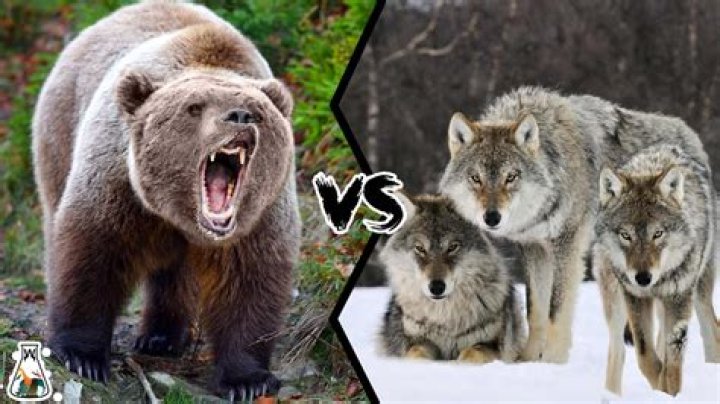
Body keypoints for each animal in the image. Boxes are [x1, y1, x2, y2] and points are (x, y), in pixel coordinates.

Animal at [31, 1, 300, 400]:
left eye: (259, 112)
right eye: (195, 107)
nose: (240, 116)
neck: (178, 212)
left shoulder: (260, 214)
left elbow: (250, 281)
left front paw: (246, 380)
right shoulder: (119, 183)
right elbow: (92, 251)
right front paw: (82, 356)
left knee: (174, 274)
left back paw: (162, 337)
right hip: (61, 130)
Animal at [379, 193, 526, 363]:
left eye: (452, 247)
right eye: (420, 248)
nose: (436, 287)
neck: (445, 319)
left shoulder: (491, 345)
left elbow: (472, 354)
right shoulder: (417, 341)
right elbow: (416, 353)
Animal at [439, 86, 714, 363]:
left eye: (511, 177)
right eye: (476, 178)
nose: (491, 217)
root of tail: (690, 136)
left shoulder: (567, 245)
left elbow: (556, 310)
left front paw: (553, 360)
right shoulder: (533, 248)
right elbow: (536, 311)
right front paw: (528, 360)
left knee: (709, 322)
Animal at [594, 145, 718, 396]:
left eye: (658, 234)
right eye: (626, 235)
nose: (643, 278)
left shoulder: (679, 298)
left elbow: (672, 366)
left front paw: (669, 392)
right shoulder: (635, 297)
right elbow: (646, 358)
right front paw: (659, 388)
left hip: (699, 294)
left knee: (711, 332)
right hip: (615, 298)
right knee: (618, 352)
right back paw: (611, 394)